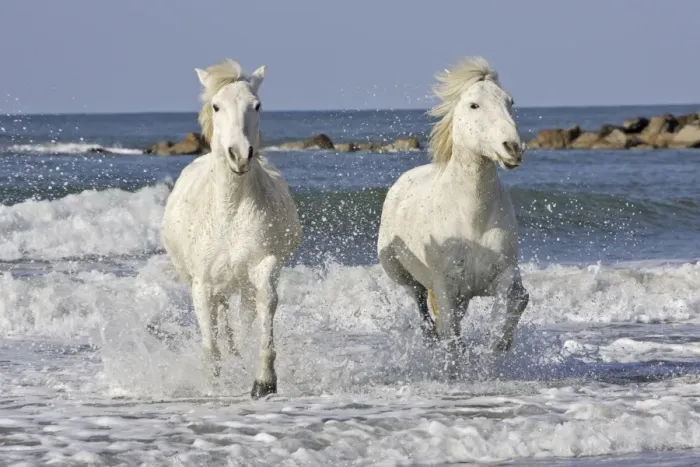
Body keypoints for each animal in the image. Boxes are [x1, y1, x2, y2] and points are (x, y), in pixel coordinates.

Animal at [161, 59, 301, 398]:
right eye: (216, 106)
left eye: (257, 105)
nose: (239, 154)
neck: (230, 211)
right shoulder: (202, 285)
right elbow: (210, 342)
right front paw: (213, 384)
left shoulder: (263, 266)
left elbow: (265, 308)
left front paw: (264, 381)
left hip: (242, 285)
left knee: (242, 318)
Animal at [377, 56, 529, 376]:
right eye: (474, 105)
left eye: (510, 102)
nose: (513, 148)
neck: (472, 219)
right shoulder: (446, 289)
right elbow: (451, 336)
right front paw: (456, 371)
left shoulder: (502, 276)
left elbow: (516, 301)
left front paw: (496, 349)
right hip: (402, 274)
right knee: (421, 308)